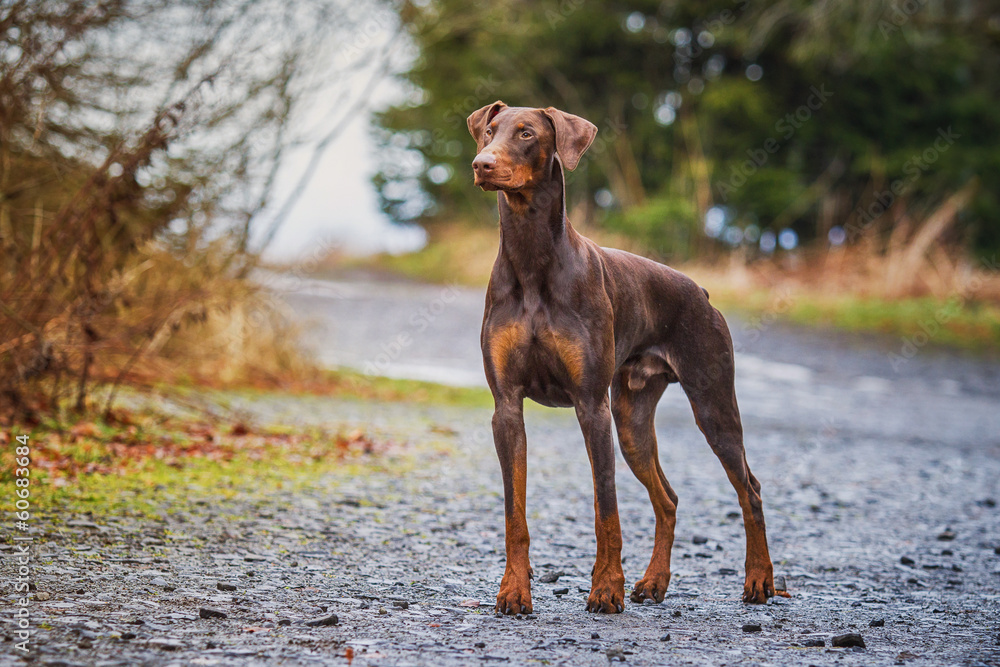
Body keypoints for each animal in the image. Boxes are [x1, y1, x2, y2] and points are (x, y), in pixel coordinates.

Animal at [464, 100, 784, 616]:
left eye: (527, 133)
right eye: (489, 131)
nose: (482, 164)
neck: (532, 258)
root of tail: (701, 291)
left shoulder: (591, 406)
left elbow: (606, 507)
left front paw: (606, 588)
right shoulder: (506, 407)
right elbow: (515, 511)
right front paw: (513, 589)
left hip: (711, 404)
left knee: (749, 490)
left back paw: (759, 580)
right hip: (632, 418)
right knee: (668, 499)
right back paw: (654, 582)